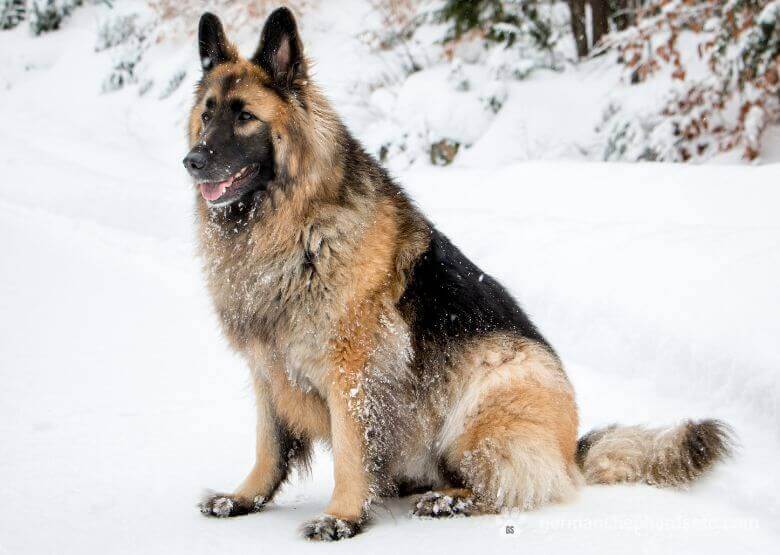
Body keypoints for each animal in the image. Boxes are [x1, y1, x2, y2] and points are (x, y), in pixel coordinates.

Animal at [186, 6, 736, 540]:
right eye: (207, 115)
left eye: (246, 117)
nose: (191, 161)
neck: (295, 225)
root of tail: (570, 453)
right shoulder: (268, 368)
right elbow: (268, 445)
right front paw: (244, 497)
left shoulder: (354, 373)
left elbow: (349, 451)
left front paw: (342, 516)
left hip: (493, 388)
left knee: (513, 486)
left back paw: (449, 499)